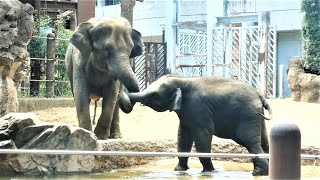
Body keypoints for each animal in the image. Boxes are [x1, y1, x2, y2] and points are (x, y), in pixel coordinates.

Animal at [127, 74, 272, 176]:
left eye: (154, 95)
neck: (182, 80)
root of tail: (259, 95)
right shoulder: (186, 112)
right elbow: (183, 137)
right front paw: (179, 170)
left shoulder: (199, 108)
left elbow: (203, 136)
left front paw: (208, 172)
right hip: (257, 117)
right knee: (265, 142)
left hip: (247, 115)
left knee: (250, 142)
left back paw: (258, 173)